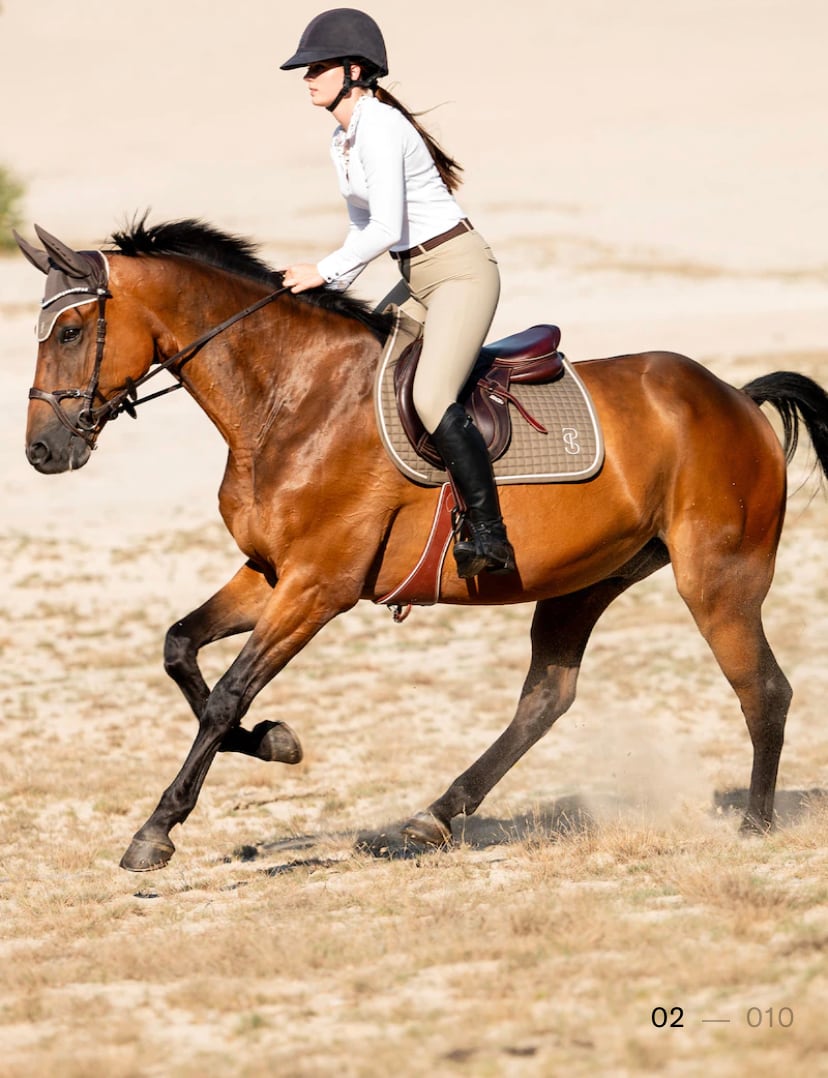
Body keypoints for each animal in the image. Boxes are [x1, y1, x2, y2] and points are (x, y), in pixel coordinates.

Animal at [16, 216, 828, 866]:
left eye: (70, 331)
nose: (42, 452)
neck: (288, 398)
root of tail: (735, 398)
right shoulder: (269, 573)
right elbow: (180, 650)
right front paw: (275, 740)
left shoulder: (318, 586)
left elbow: (225, 695)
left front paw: (158, 828)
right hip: (585, 580)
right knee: (547, 696)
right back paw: (432, 817)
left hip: (716, 580)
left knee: (763, 688)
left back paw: (755, 824)